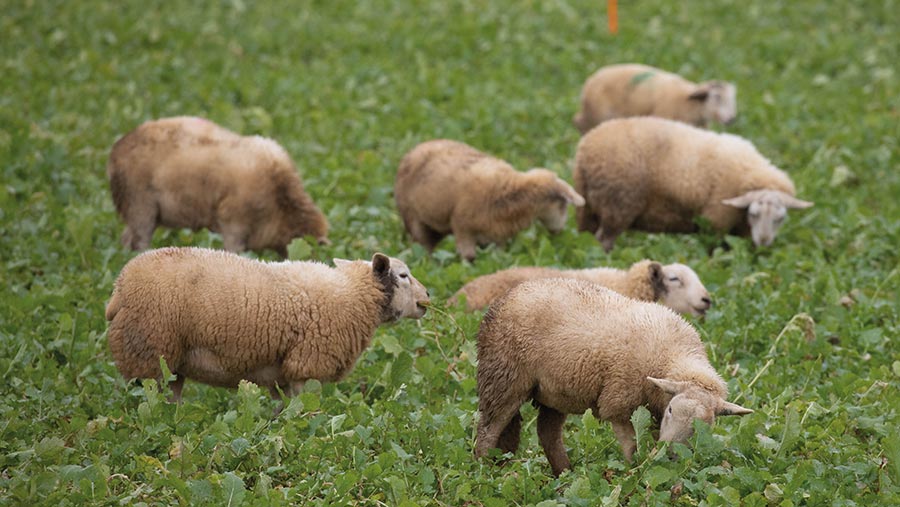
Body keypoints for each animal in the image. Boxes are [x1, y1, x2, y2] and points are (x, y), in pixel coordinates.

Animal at [105, 247, 429, 401]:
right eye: (402, 275)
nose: (428, 296)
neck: (353, 294)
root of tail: (119, 287)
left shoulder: (280, 373)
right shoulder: (306, 366)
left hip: (168, 362)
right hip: (147, 351)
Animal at [394, 140, 586, 261]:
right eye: (563, 205)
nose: (559, 232)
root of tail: (414, 150)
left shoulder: (497, 237)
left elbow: (497, 256)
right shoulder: (462, 228)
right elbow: (469, 258)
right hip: (413, 218)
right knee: (422, 246)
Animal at [474, 278, 752, 476]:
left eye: (705, 425)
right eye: (672, 410)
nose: (668, 451)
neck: (672, 356)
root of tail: (508, 295)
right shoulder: (619, 403)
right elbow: (631, 447)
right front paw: (633, 474)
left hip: (554, 392)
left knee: (548, 433)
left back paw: (564, 475)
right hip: (503, 376)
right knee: (489, 428)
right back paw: (483, 471)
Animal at [572, 63, 737, 133]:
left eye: (733, 99)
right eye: (716, 97)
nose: (732, 119)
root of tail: (590, 80)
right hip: (597, 115)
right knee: (580, 123)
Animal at [574, 117, 814, 251]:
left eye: (780, 219)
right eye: (753, 214)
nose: (764, 241)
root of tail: (587, 148)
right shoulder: (715, 223)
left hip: (589, 206)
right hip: (618, 203)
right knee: (604, 240)